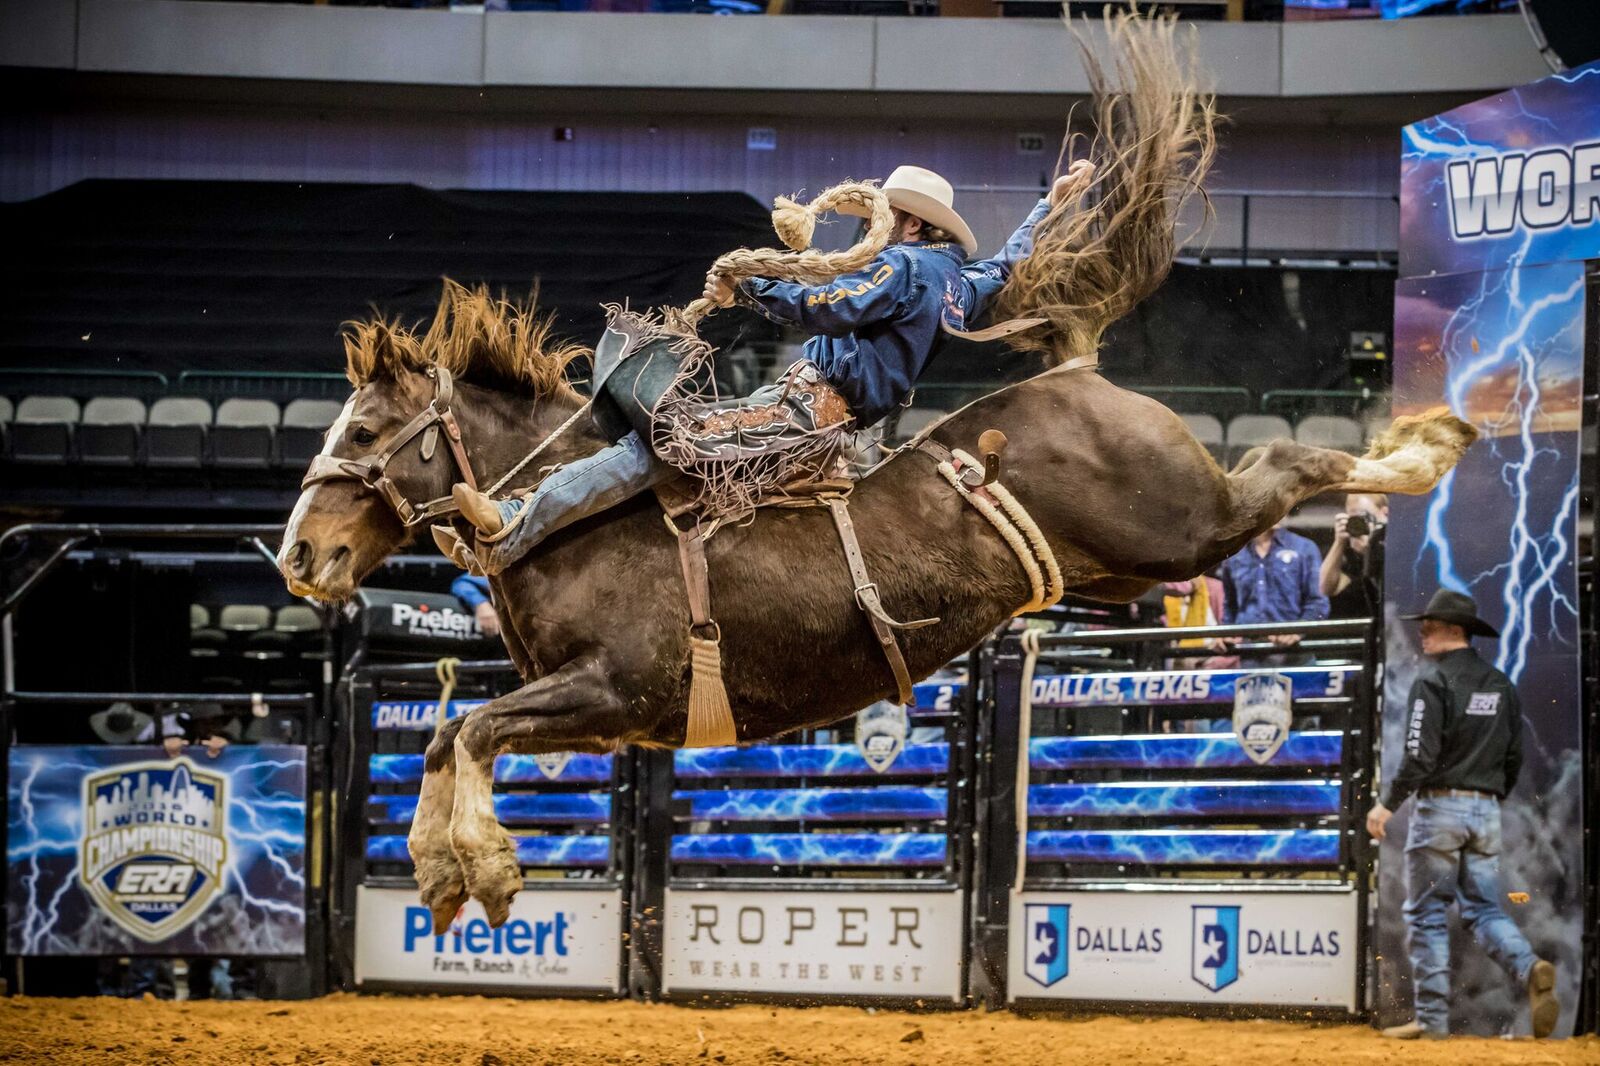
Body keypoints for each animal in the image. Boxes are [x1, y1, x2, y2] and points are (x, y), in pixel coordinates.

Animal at [272, 16, 1472, 928]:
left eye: (366, 428)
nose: (298, 552)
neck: (567, 523)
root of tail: (1078, 369)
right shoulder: (592, 709)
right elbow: (443, 732)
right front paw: (441, 873)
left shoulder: (611, 691)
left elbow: (469, 729)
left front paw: (478, 869)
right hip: (1134, 565)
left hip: (1184, 524)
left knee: (1286, 463)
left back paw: (1425, 450)